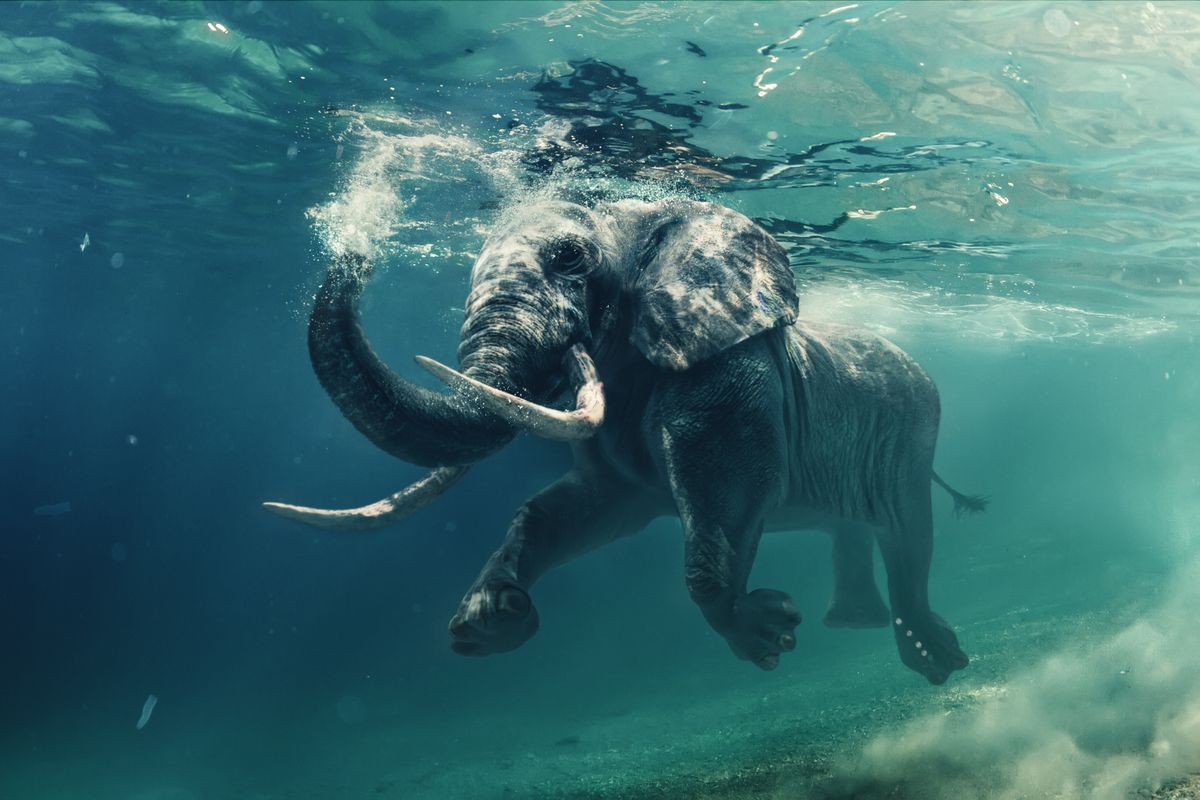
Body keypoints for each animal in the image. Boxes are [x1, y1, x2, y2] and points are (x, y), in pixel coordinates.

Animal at [264, 198, 986, 685]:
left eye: (569, 258)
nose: (357, 247)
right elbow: (572, 509)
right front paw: (490, 623)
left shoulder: (727, 371)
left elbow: (727, 491)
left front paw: (767, 634)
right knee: (857, 528)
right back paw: (856, 625)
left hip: (913, 433)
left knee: (908, 535)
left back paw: (935, 660)